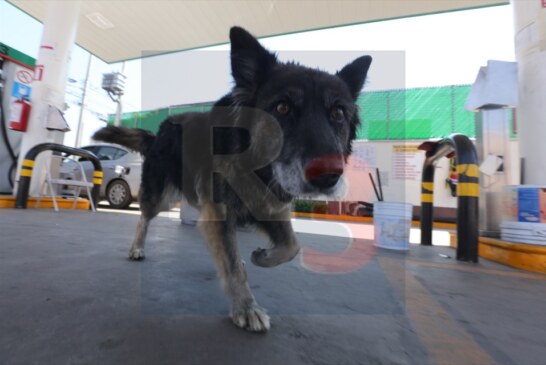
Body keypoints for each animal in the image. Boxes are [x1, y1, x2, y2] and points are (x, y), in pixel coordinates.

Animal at [93, 27, 372, 332]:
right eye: (282, 108)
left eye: (338, 113)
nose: (328, 176)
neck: (254, 167)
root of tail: (157, 134)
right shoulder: (221, 211)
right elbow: (232, 266)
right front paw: (246, 307)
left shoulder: (270, 208)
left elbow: (292, 246)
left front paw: (262, 256)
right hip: (163, 197)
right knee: (144, 217)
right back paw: (137, 248)